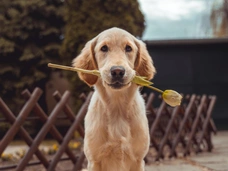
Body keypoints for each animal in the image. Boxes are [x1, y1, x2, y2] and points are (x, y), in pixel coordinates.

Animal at [72, 27, 156, 170]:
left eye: (128, 48)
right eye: (104, 48)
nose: (117, 71)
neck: (117, 107)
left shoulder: (138, 160)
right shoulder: (94, 161)